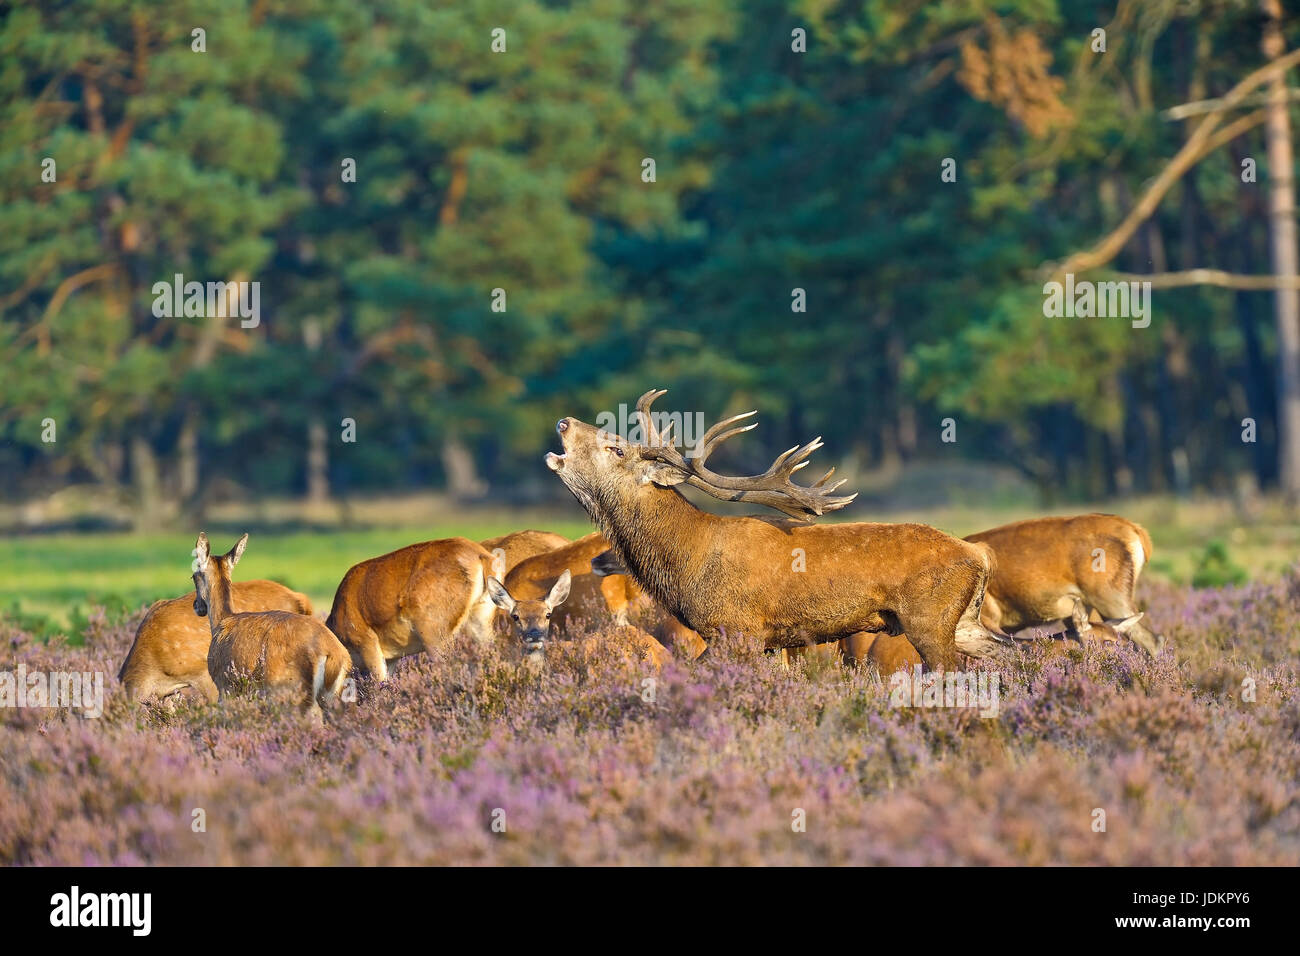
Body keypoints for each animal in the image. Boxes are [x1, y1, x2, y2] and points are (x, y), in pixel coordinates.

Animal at [191, 535, 351, 723]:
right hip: (334, 694)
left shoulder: (224, 684)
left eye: (193, 576)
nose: (197, 605)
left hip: (285, 688)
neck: (220, 622)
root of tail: (333, 653)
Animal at [543, 390, 1008, 671]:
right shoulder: (766, 641)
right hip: (964, 621)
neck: (685, 565)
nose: (564, 421)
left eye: (616, 448)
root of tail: (979, 555)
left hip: (929, 618)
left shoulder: (738, 628)